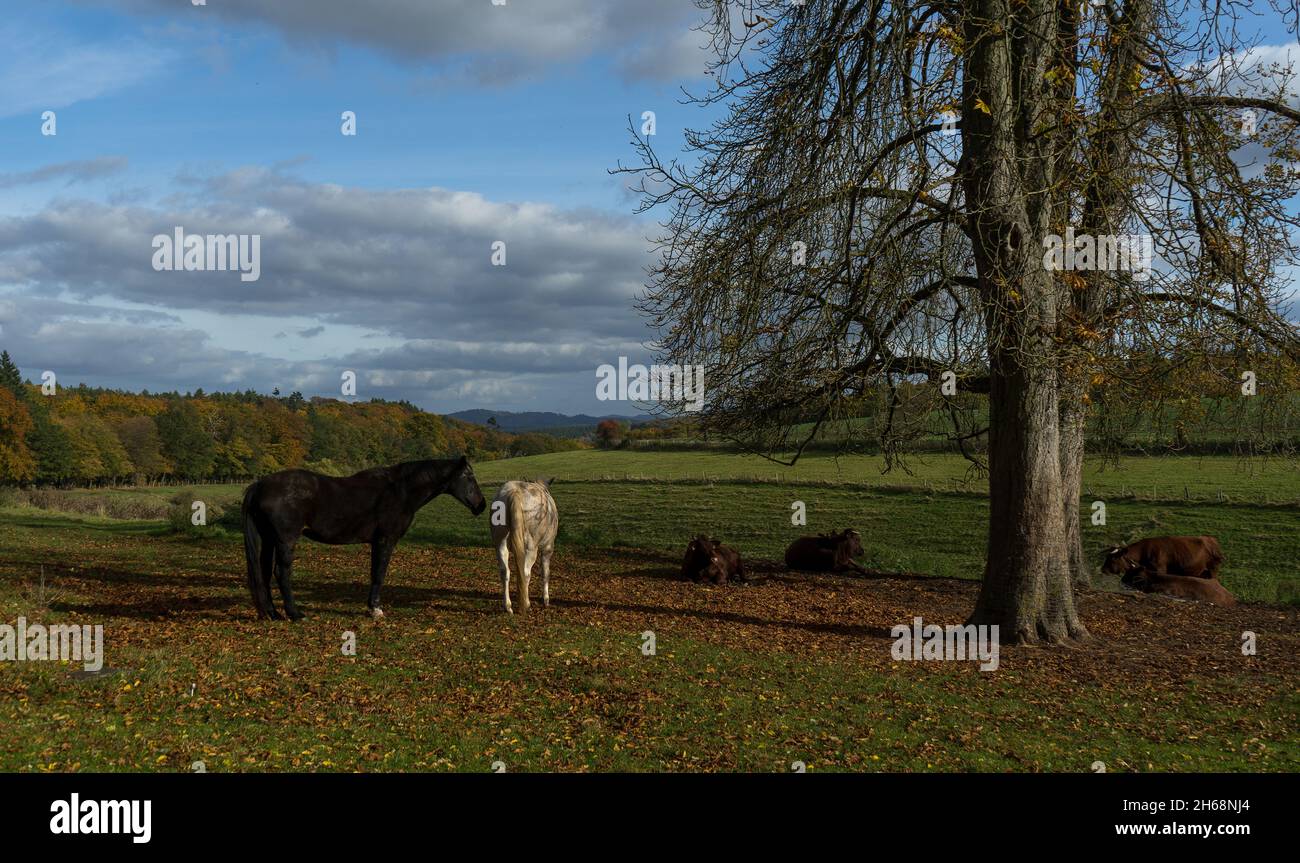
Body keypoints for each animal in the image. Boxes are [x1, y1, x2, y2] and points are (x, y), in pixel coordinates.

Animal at [241, 457, 486, 621]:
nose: (481, 505)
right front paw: (375, 609)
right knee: (281, 573)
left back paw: (272, 613)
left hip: (269, 540)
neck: (400, 491)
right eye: (469, 476)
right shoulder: (385, 540)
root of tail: (260, 485)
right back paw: (294, 614)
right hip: (285, 540)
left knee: (264, 573)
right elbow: (378, 574)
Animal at [488, 478, 556, 613]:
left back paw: (508, 607)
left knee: (504, 572)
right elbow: (545, 573)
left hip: (500, 544)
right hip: (530, 549)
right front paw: (546, 599)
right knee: (525, 573)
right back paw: (526, 604)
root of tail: (513, 491)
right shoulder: (548, 548)